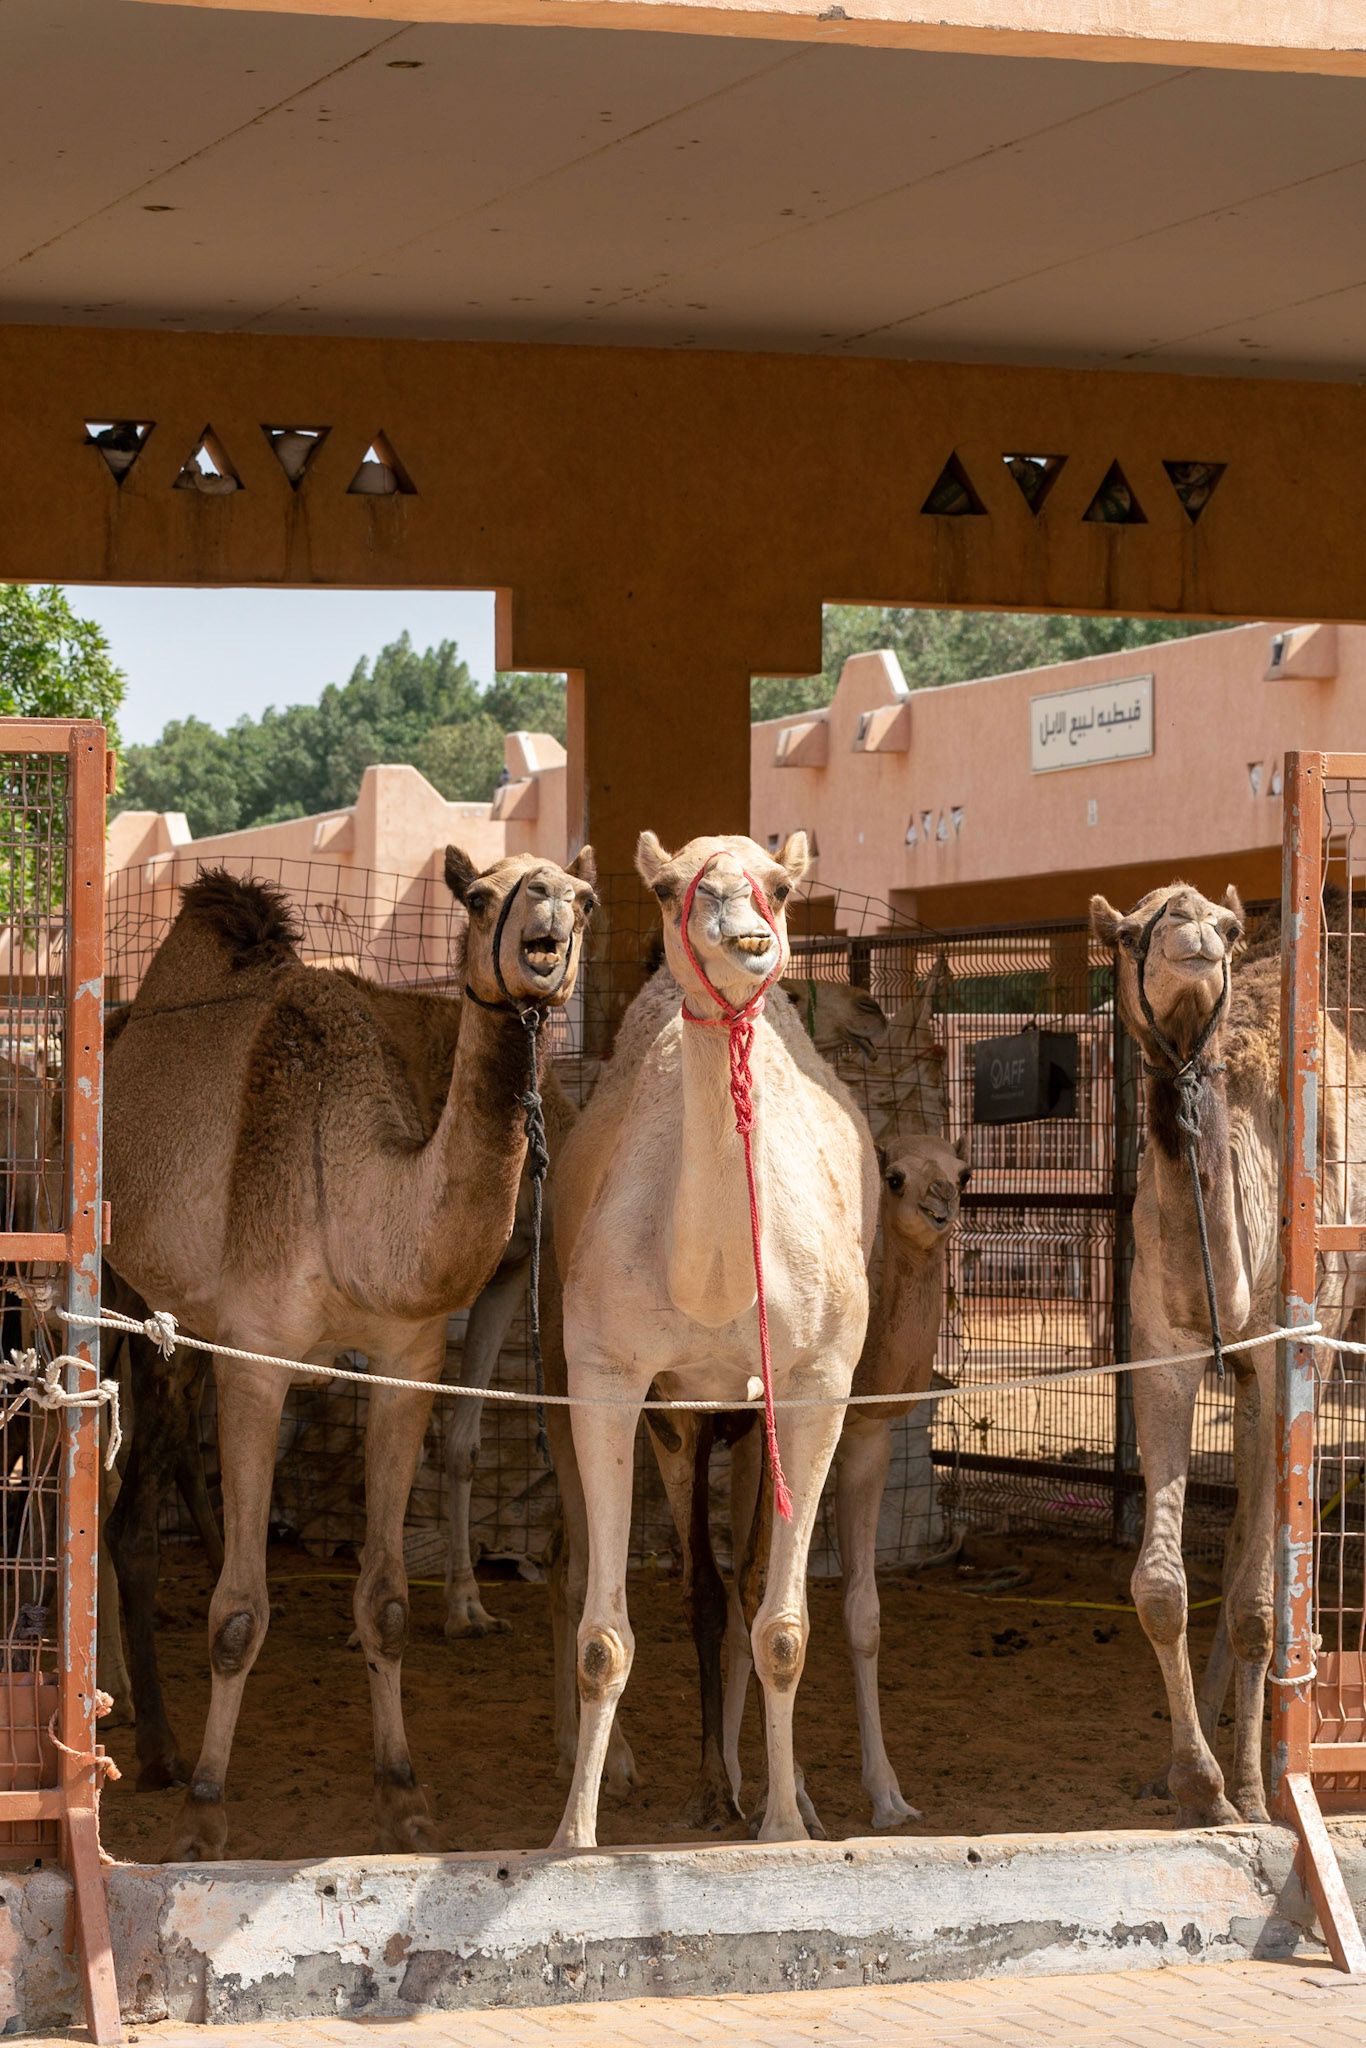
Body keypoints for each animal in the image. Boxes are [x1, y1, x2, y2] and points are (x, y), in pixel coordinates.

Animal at [103, 847, 595, 1857]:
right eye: (479, 896)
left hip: (179, 1328)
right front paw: (206, 1812)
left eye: (587, 898)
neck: (354, 1195)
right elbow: (237, 1613)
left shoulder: (406, 1359)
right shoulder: (259, 1358)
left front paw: (403, 1795)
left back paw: (155, 1738)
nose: (549, 924)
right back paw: (157, 1749)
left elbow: (387, 1602)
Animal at [549, 830, 878, 1849]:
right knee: (697, 1586)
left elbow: (783, 1628)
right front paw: (570, 1837)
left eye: (779, 887)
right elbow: (601, 1640)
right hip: (677, 1417)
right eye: (667, 890)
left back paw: (775, 1788)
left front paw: (786, 1828)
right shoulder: (610, 1372)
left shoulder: (818, 1376)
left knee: (746, 1589)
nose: (748, 943)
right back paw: (705, 1784)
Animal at [1089, 881, 1364, 1825]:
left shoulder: (1290, 1352)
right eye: (1130, 932)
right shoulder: (1163, 1349)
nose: (1194, 930)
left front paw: (1250, 1786)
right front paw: (1197, 1784)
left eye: (1230, 925)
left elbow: (1255, 1600)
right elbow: (1161, 1588)